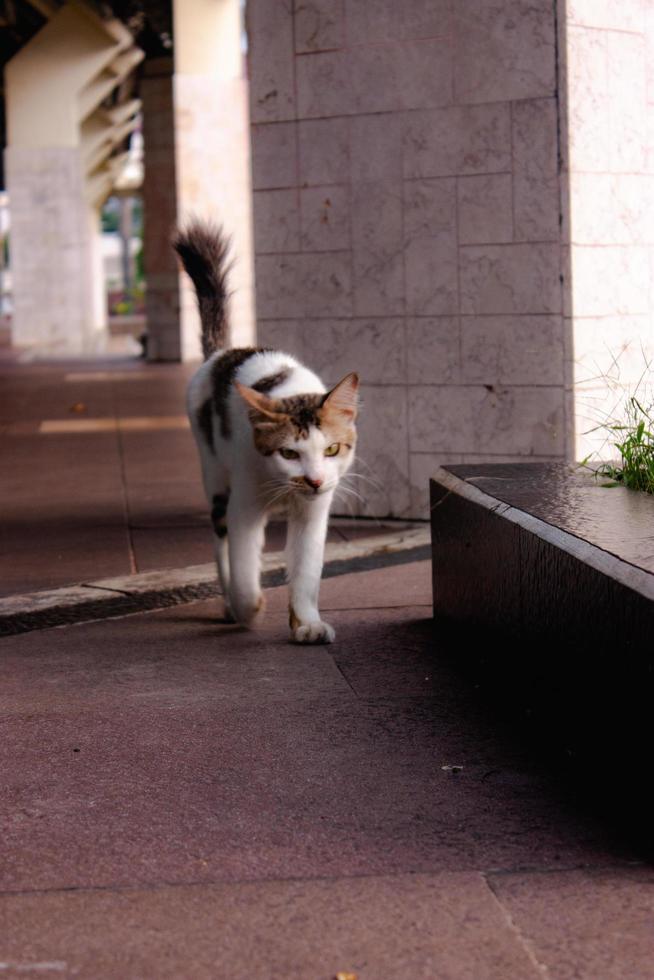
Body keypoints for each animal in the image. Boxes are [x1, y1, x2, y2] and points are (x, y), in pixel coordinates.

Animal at [173, 226, 358, 648]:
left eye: (332, 449)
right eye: (288, 453)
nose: (314, 480)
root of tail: (221, 353)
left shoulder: (313, 511)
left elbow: (306, 571)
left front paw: (306, 623)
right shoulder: (245, 502)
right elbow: (242, 565)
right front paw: (248, 607)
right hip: (215, 475)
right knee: (221, 539)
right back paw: (229, 604)